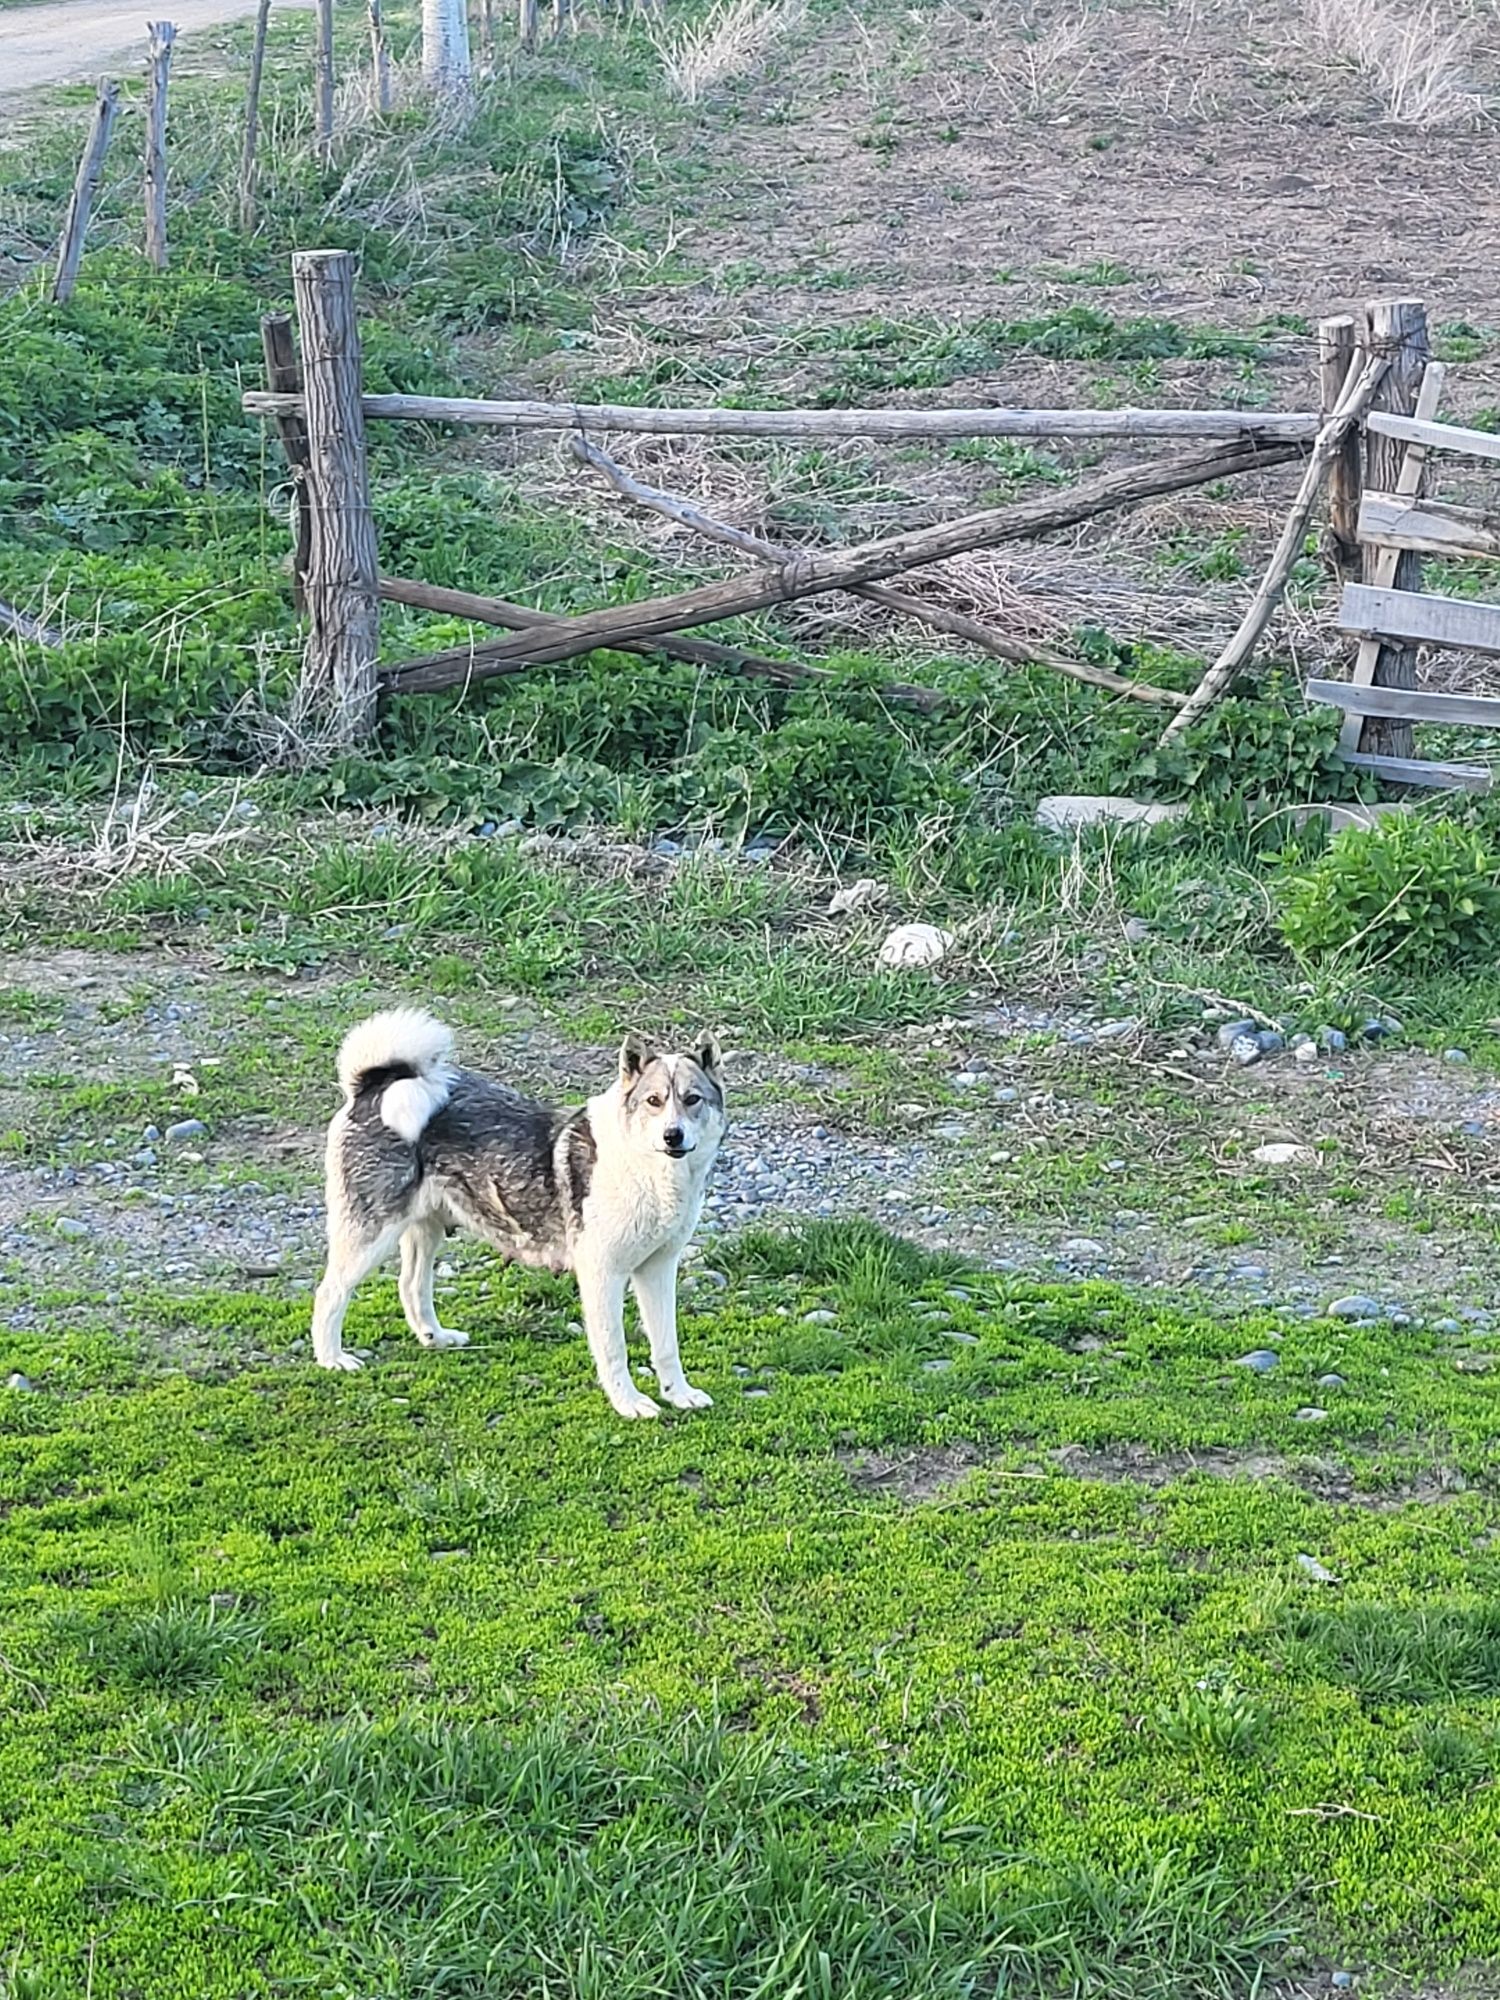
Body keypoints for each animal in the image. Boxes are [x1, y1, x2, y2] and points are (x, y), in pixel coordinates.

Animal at [312, 1008, 728, 1416]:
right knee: (330, 1292)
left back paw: (436, 1337)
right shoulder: (603, 1274)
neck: (645, 1166)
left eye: (692, 1099)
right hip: (370, 1235)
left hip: (426, 1228)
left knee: (410, 1284)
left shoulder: (658, 1270)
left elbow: (666, 1344)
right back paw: (332, 1358)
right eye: (654, 1101)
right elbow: (614, 1349)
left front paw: (678, 1393)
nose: (672, 1135)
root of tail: (371, 1086)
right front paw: (628, 1402)